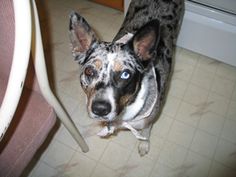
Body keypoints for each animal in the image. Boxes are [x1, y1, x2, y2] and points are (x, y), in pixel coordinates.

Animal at [68, 0, 184, 155]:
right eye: (89, 71)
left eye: (125, 74)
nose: (100, 109)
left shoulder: (148, 120)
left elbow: (145, 133)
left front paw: (144, 144)